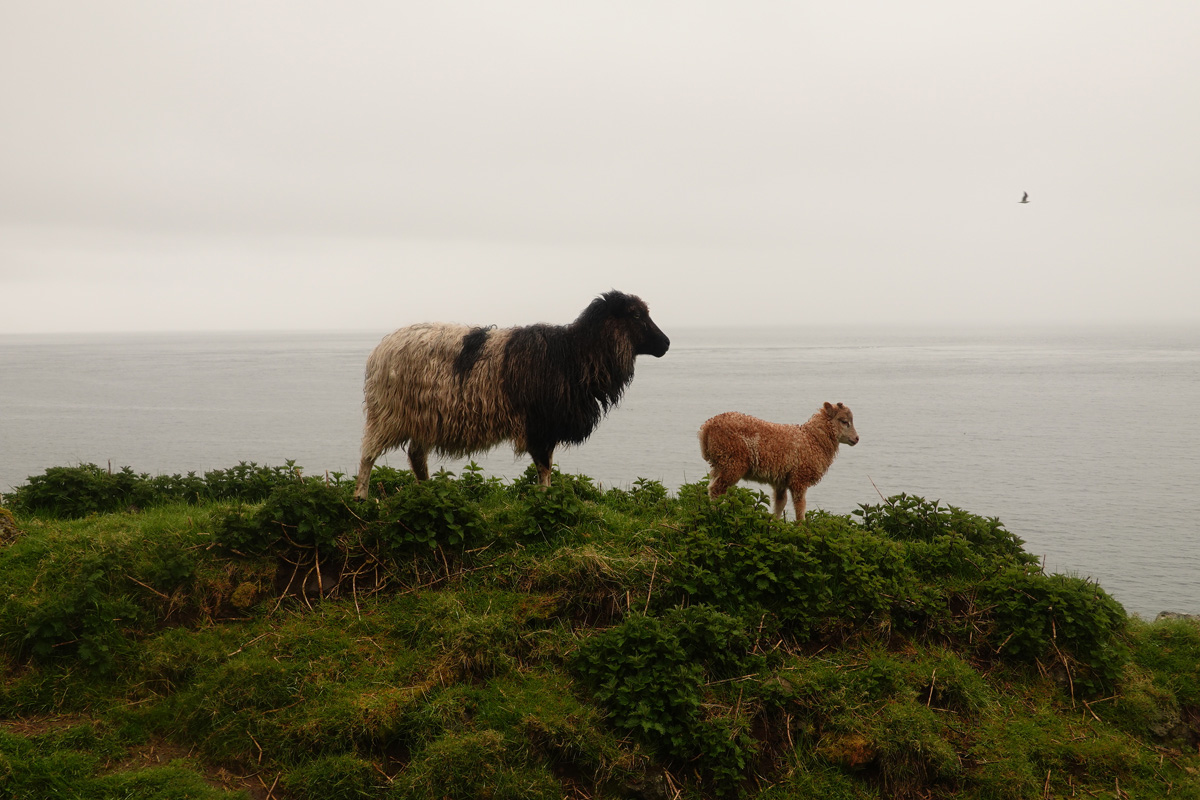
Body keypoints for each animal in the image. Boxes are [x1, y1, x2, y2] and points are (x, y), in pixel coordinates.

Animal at [352, 291, 676, 496]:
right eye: (636, 315)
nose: (666, 343)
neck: (575, 353)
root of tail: (380, 349)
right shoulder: (540, 423)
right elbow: (544, 467)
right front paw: (546, 501)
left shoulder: (546, 424)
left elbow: (546, 466)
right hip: (389, 411)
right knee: (368, 454)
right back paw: (362, 498)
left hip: (425, 417)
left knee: (416, 456)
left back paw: (427, 494)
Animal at [700, 402, 859, 522]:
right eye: (844, 421)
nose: (857, 438)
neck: (812, 439)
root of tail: (706, 429)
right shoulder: (799, 479)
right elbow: (800, 506)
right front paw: (801, 527)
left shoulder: (781, 480)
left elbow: (780, 504)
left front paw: (774, 525)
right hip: (732, 462)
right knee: (717, 489)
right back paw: (719, 514)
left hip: (720, 463)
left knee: (711, 486)